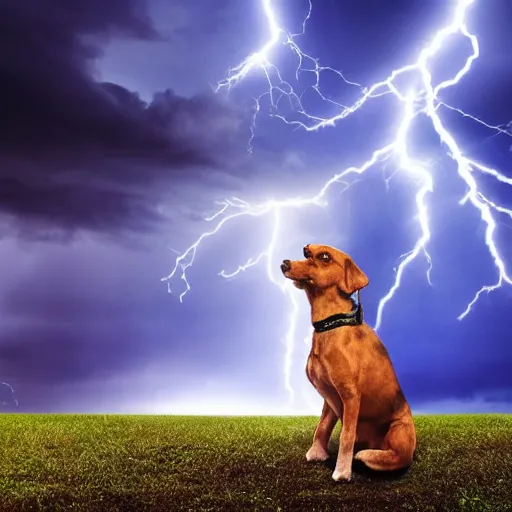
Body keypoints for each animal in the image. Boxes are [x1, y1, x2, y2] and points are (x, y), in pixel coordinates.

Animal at [280, 244, 416, 480]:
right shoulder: (329, 396)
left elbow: (346, 435)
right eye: (305, 252)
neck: (332, 325)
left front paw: (342, 471)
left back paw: (369, 456)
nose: (284, 263)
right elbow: (322, 426)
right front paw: (317, 453)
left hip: (399, 429)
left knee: (399, 458)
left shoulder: (350, 395)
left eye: (325, 256)